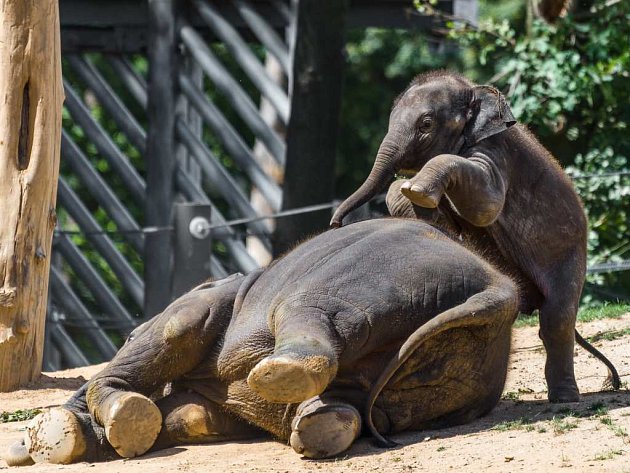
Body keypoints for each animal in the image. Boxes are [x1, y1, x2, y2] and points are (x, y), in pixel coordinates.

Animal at [4, 218, 520, 464]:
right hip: (442, 383)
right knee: (375, 407)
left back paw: (282, 378)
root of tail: (497, 286)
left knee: (310, 314)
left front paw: (67, 433)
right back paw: (324, 425)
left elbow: (174, 331)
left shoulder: (204, 306)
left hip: (368, 276)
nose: (22, 445)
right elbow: (190, 416)